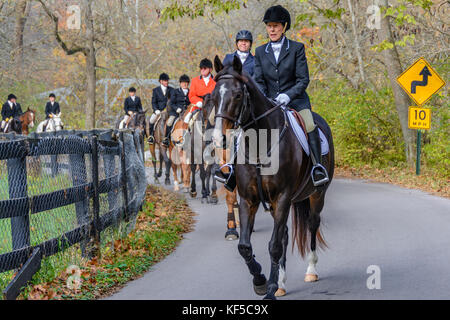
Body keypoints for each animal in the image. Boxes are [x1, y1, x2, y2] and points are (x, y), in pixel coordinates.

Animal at [212, 55, 334, 300]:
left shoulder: (282, 197)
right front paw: (261, 281)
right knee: (285, 234)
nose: (219, 137)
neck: (260, 142)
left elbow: (274, 246)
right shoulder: (248, 199)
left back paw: (310, 271)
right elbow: (245, 246)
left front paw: (267, 289)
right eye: (213, 96)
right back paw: (281, 283)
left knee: (311, 225)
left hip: (316, 196)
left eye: (237, 95)